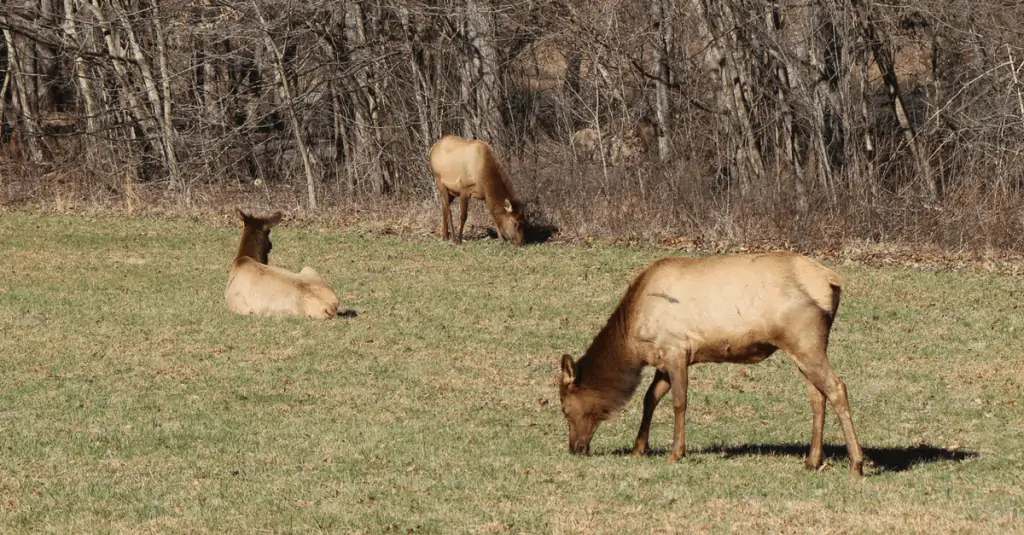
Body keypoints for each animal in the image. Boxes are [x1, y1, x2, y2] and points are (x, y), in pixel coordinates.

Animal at [561, 252, 864, 473]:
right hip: (802, 349)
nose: (574, 448)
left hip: (804, 340)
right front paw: (639, 448)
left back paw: (856, 463)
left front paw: (676, 453)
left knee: (837, 387)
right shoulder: (664, 359)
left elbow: (679, 402)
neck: (633, 341)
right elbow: (650, 398)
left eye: (564, 408)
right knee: (817, 395)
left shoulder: (676, 350)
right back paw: (812, 460)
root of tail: (832, 281)